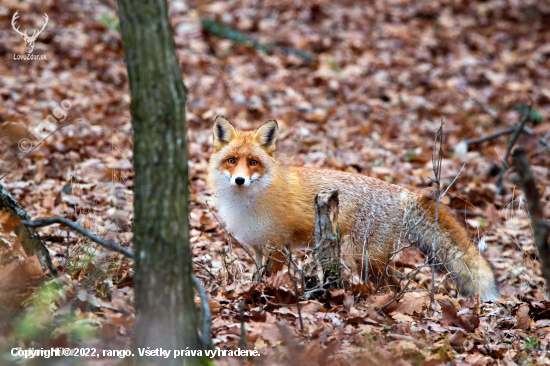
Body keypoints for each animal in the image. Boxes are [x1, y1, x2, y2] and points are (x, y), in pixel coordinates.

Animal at [207, 116, 500, 300]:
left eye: (253, 162)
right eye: (231, 160)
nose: (240, 180)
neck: (248, 202)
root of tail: (402, 193)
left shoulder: (277, 246)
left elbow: (270, 278)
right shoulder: (258, 247)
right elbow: (257, 277)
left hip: (365, 258)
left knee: (393, 286)